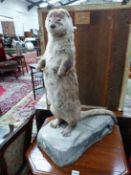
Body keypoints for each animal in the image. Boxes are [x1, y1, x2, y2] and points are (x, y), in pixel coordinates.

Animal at [37, 8, 115, 137]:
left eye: (59, 20)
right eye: (50, 19)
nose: (52, 25)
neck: (54, 48)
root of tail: (79, 113)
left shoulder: (69, 53)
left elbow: (66, 63)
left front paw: (59, 73)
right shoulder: (46, 53)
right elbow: (42, 59)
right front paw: (38, 67)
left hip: (71, 111)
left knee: (73, 123)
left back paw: (67, 130)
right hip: (53, 108)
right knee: (60, 118)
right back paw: (55, 123)